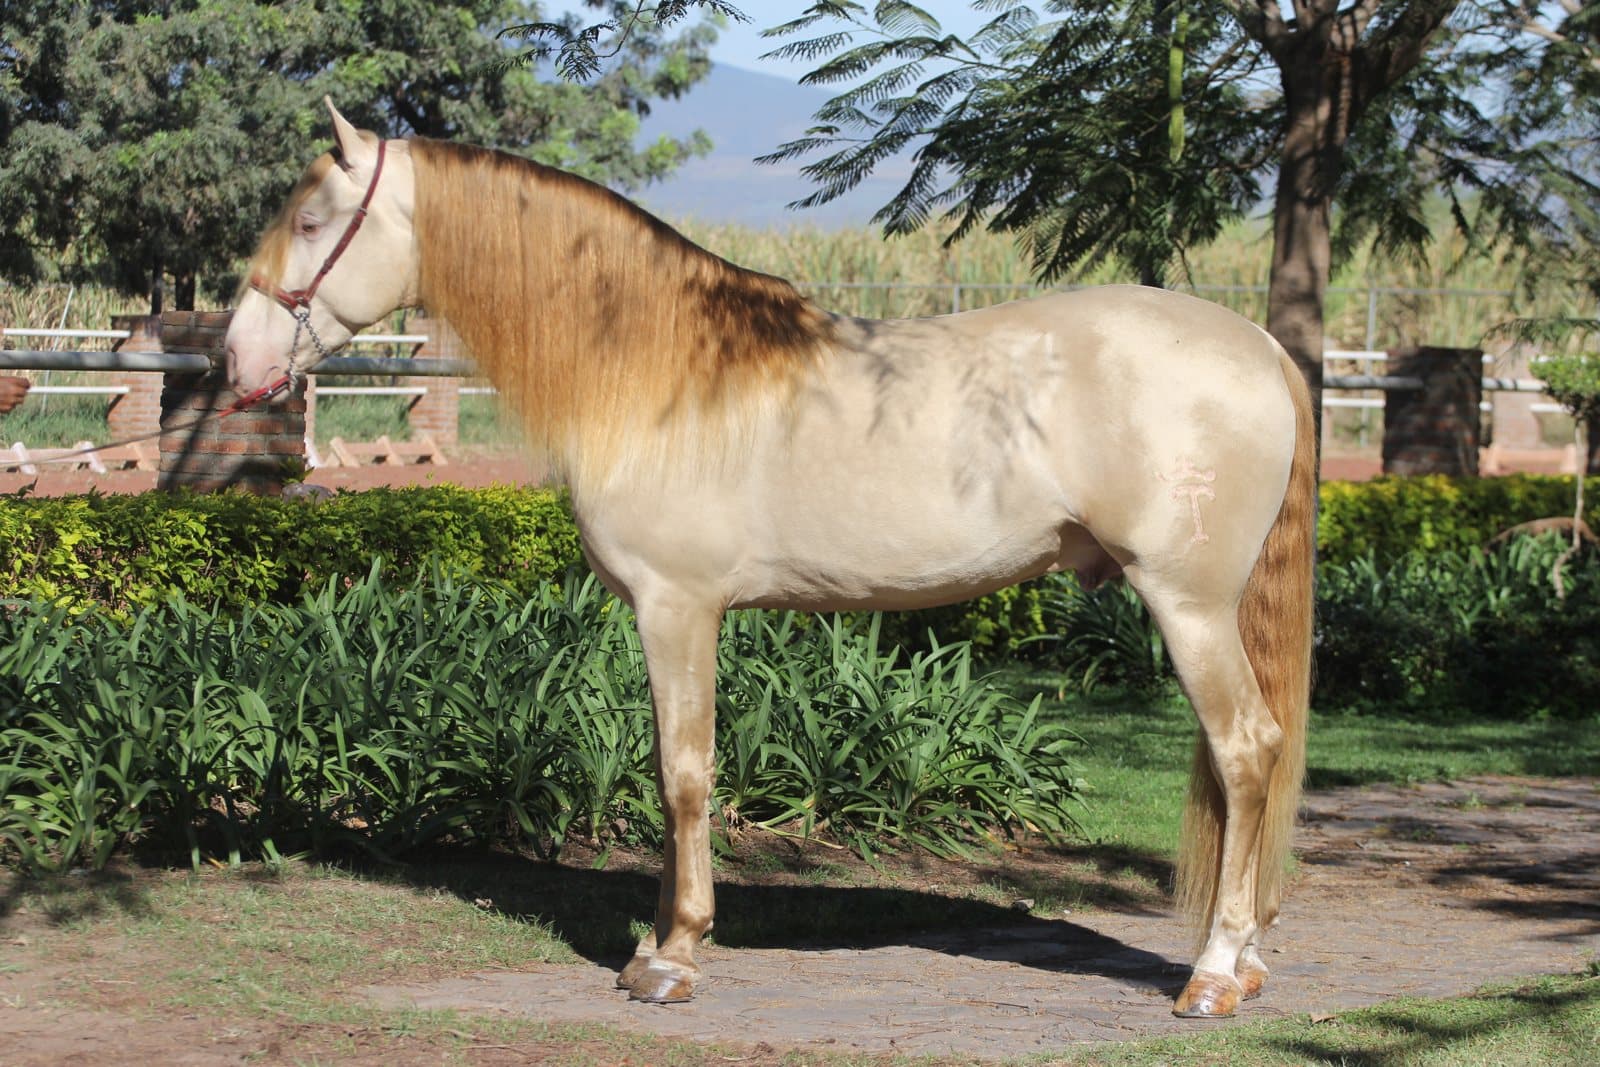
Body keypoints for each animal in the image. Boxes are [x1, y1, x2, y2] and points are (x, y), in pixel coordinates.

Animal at [226, 101, 1315, 1019]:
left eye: (314, 219)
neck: (658, 370)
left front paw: (672, 954)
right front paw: (654, 940)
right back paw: (1250, 959)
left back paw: (1214, 972)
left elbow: (684, 770)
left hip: (1188, 603)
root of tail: (1260, 346)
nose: (238, 362)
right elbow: (668, 767)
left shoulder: (677, 606)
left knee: (1246, 748)